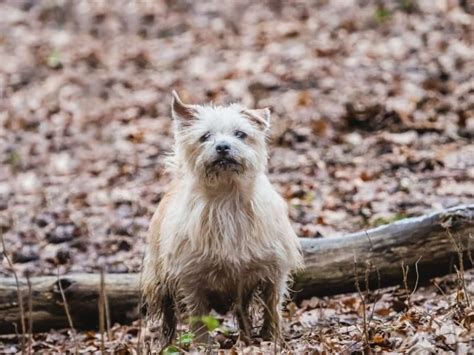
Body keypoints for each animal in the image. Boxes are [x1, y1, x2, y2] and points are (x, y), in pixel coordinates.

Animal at [142, 92, 304, 348]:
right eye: (205, 136)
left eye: (240, 134)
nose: (222, 146)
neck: (228, 198)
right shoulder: (192, 279)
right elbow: (198, 316)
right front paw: (202, 346)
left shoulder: (273, 271)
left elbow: (272, 308)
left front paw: (271, 339)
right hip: (160, 281)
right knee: (168, 317)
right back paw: (168, 345)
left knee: (243, 312)